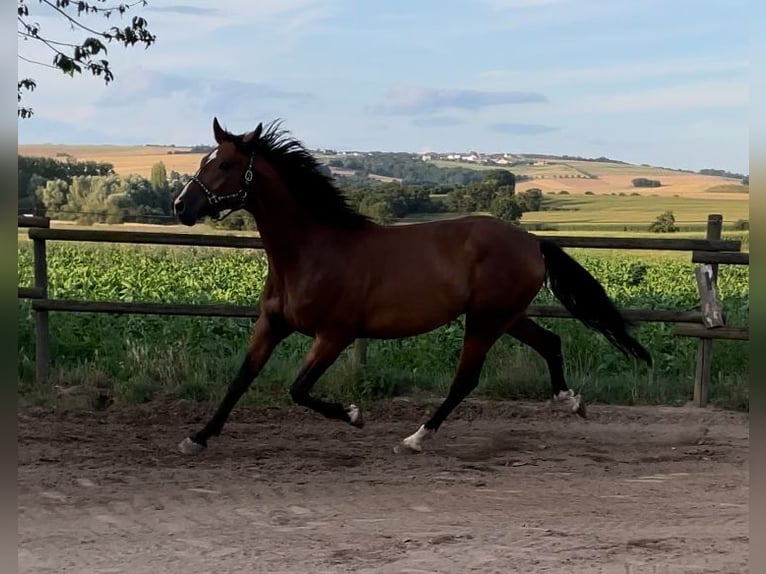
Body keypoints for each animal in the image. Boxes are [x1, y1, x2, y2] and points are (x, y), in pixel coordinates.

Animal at [171, 119, 652, 456]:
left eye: (225, 165)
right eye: (202, 162)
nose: (180, 207)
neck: (311, 252)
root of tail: (532, 241)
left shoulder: (335, 335)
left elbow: (298, 389)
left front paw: (354, 415)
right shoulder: (271, 325)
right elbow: (241, 378)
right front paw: (198, 437)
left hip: (485, 319)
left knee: (466, 378)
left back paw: (416, 438)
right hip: (507, 316)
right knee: (550, 342)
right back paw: (572, 402)